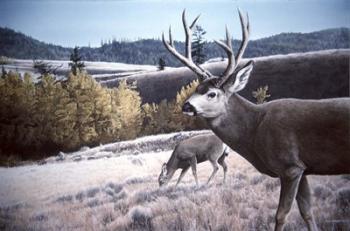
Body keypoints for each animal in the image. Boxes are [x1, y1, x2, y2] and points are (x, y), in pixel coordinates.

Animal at [163, 9, 350, 231]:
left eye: (212, 93)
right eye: (196, 89)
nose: (186, 106)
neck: (255, 129)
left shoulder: (289, 167)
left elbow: (281, 215)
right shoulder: (302, 169)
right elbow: (307, 211)